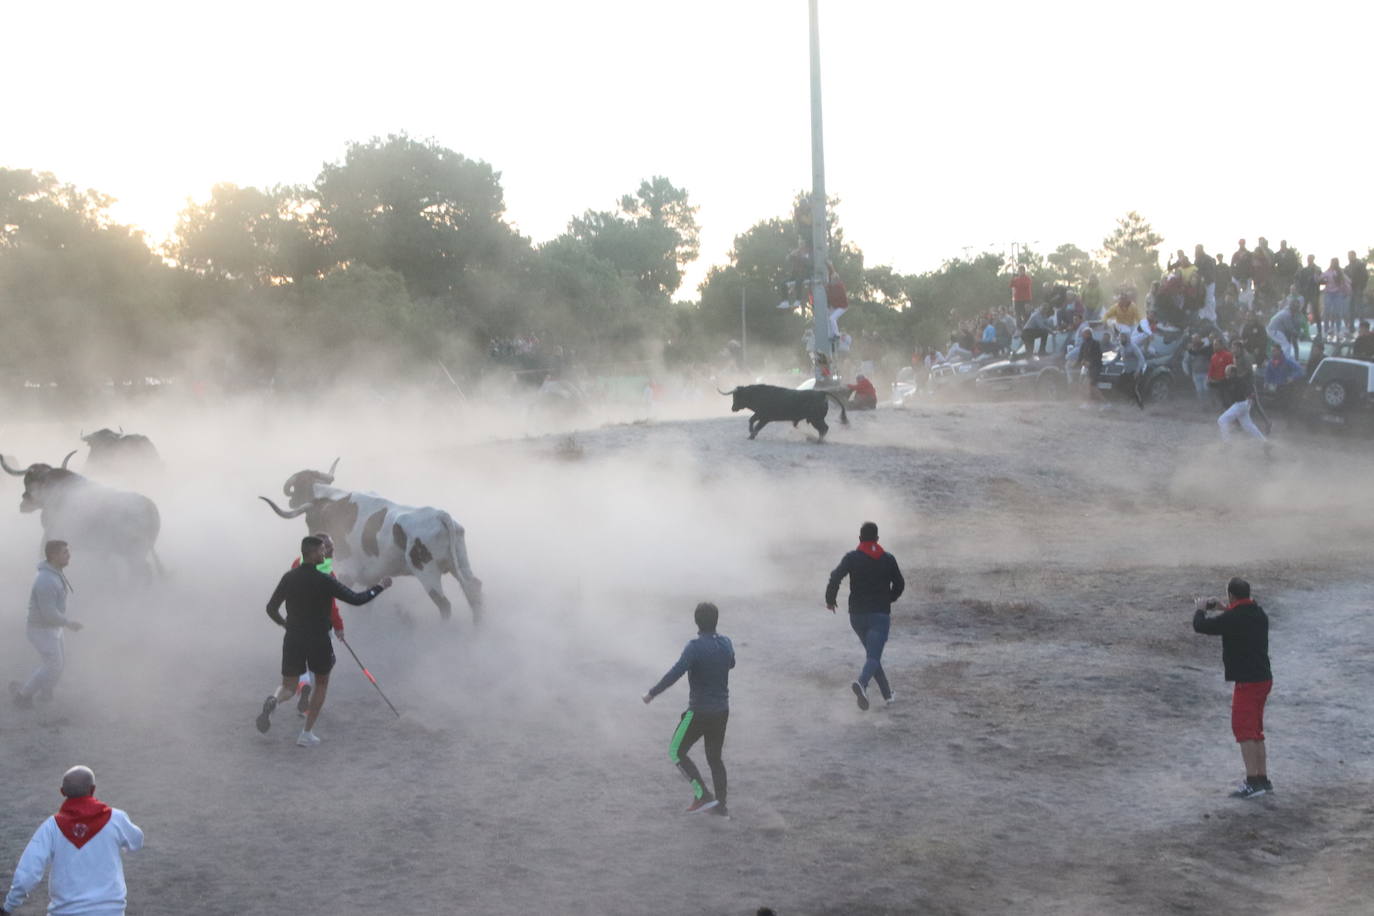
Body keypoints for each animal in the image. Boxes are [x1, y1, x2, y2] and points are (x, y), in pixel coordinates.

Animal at [258, 458, 483, 623]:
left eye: (297, 488)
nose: (291, 501)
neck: (328, 503)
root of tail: (439, 515)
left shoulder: (346, 571)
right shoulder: (371, 577)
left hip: (427, 571)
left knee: (444, 604)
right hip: (460, 563)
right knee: (474, 590)